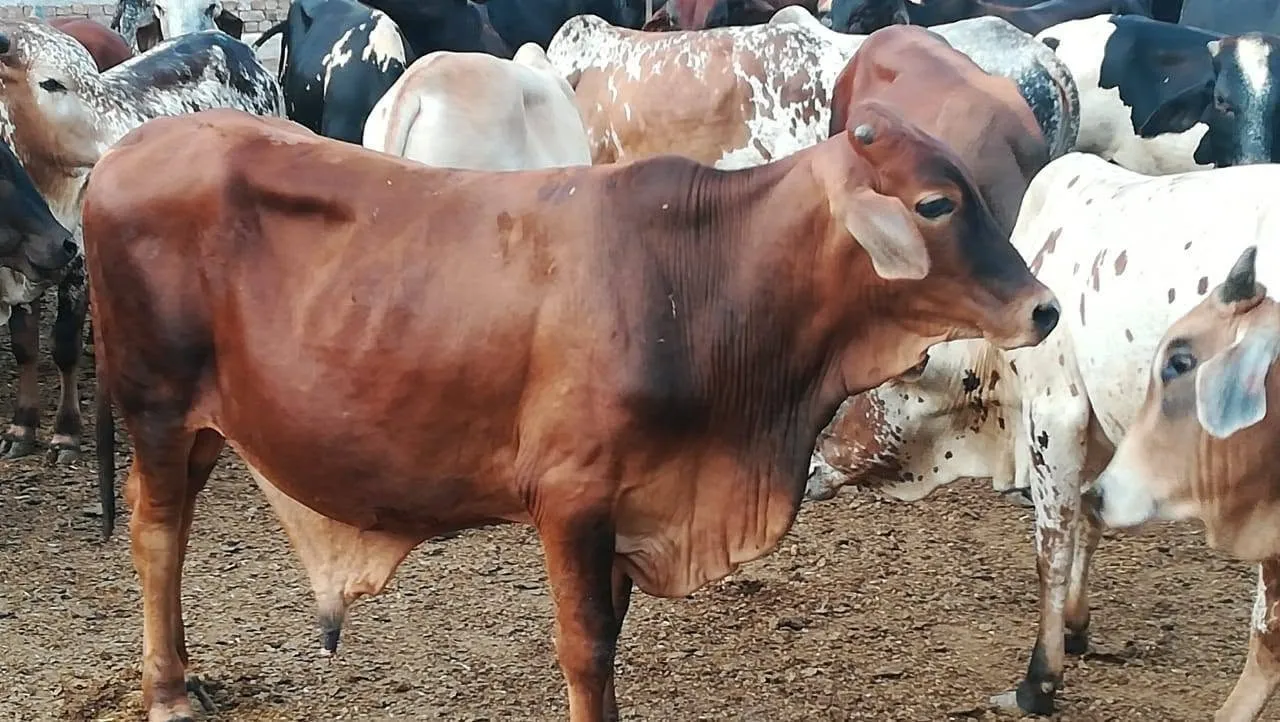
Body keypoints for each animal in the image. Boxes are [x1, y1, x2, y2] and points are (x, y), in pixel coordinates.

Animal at [0, 21, 282, 464]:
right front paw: (22, 427)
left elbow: (64, 346)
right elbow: (25, 346)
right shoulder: (24, 268)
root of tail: (231, 44)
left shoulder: (77, 267)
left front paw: (66, 434)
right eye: (50, 82)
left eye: (92, 74)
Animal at [84, 102, 1060, 721]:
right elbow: (586, 648)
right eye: (935, 203)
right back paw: (167, 694)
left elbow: (612, 640)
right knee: (156, 535)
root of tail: (119, 157)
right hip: (156, 404)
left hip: (205, 425)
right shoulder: (573, 498)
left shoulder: (631, 506)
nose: (1044, 308)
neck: (707, 274)